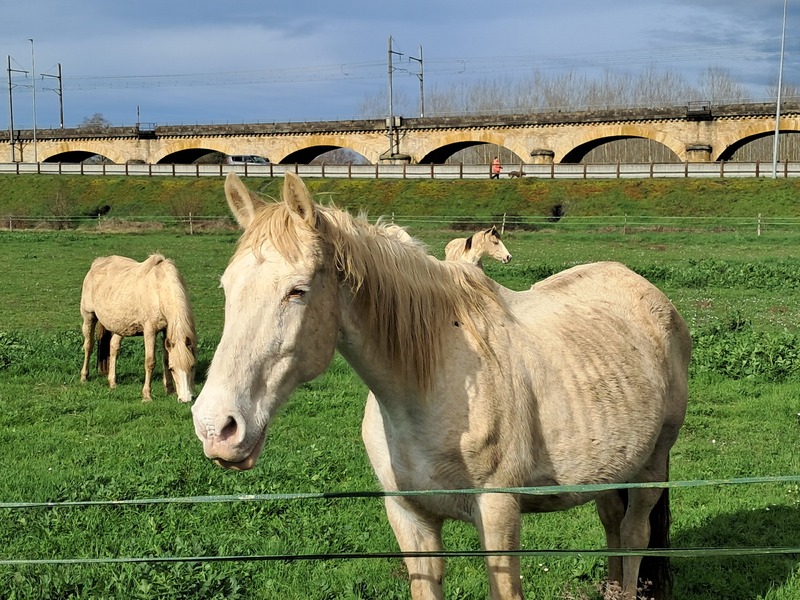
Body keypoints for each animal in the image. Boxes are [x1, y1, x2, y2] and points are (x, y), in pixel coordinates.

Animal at [79, 253, 197, 404]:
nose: (186, 399)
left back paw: (112, 382)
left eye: (192, 366)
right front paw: (146, 395)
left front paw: (169, 390)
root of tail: (97, 263)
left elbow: (165, 358)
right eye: (173, 369)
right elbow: (150, 362)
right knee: (88, 346)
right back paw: (84, 376)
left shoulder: (166, 331)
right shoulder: (150, 330)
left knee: (114, 347)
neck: (158, 291)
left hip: (119, 326)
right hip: (89, 317)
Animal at [192, 173, 688, 600]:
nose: (217, 427)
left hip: (653, 463)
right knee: (611, 522)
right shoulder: (411, 519)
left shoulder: (498, 513)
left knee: (633, 534)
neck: (430, 386)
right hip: (611, 467)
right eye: (225, 286)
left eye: (297, 290)